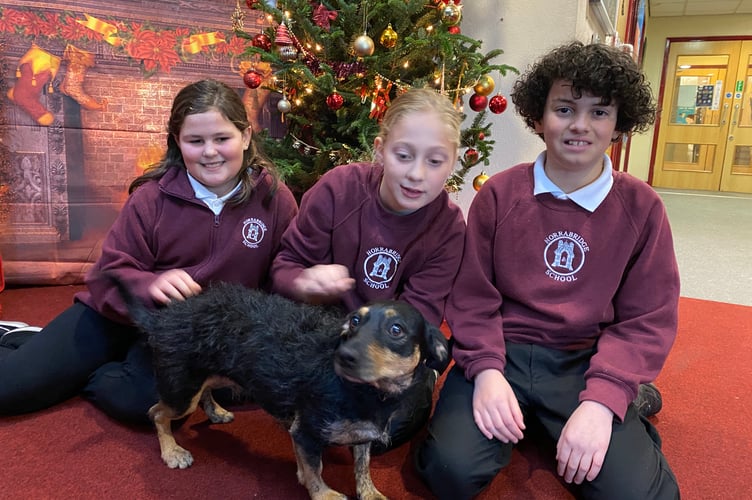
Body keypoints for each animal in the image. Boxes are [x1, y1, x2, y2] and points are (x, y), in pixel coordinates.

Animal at [114, 279, 450, 500]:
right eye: (354, 321)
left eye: (396, 330)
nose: (344, 356)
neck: (365, 393)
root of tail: (162, 318)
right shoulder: (305, 432)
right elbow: (316, 468)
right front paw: (324, 494)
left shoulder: (362, 435)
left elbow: (362, 465)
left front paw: (370, 493)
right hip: (182, 390)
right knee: (156, 412)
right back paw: (172, 452)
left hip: (213, 375)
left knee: (203, 392)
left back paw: (216, 411)